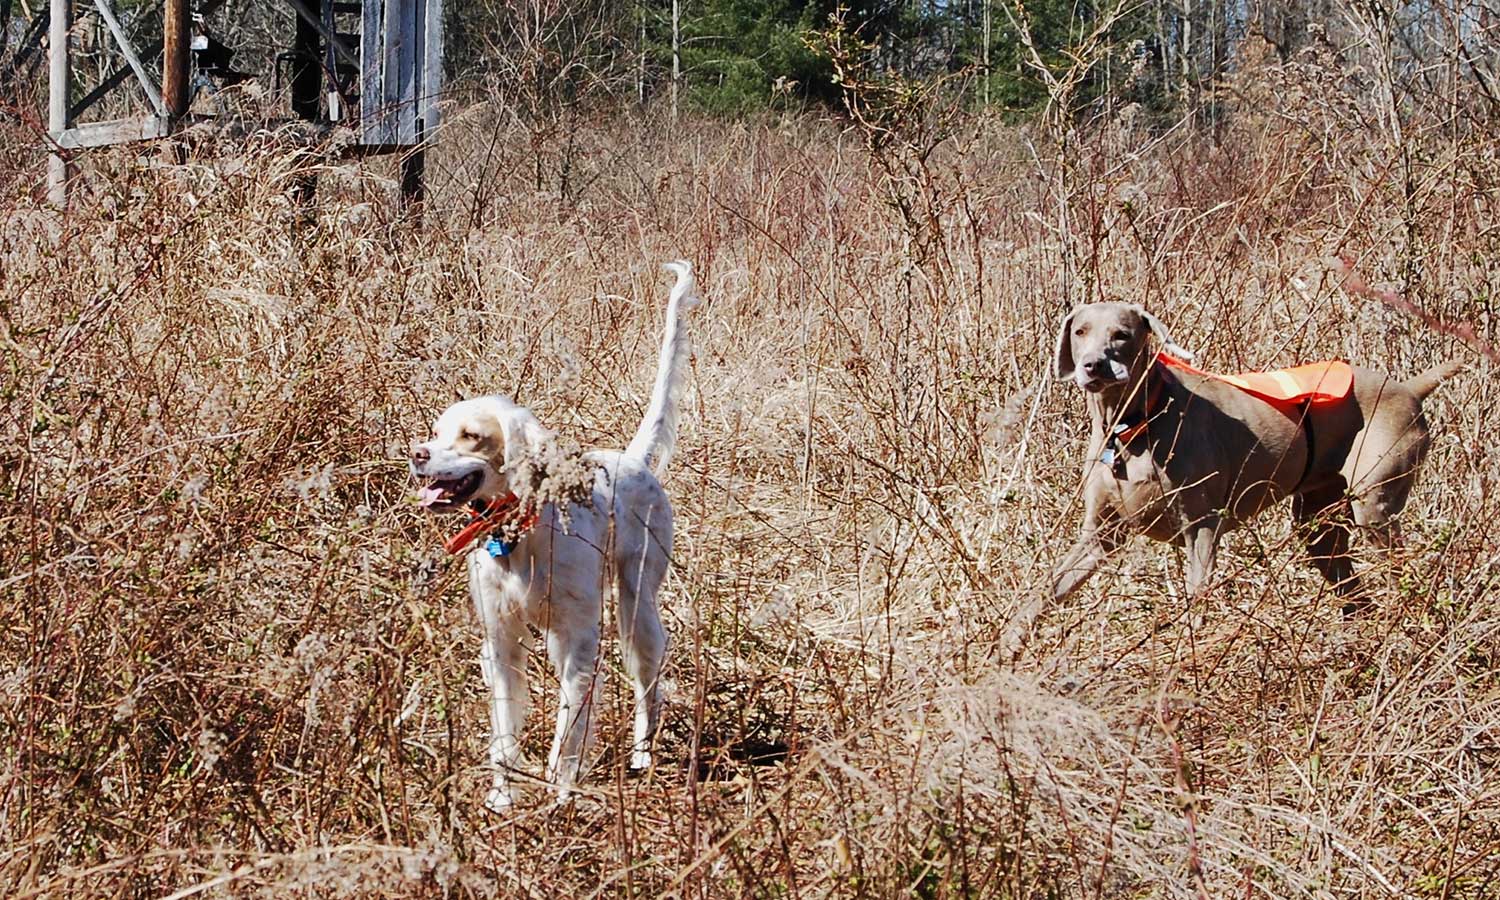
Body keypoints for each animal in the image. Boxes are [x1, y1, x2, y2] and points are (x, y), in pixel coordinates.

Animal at [405, 258, 696, 810]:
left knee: (650, 682)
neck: (520, 536)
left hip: (636, 604)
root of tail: (632, 458)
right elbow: (504, 735)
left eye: (471, 436)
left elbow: (570, 729)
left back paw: (642, 754)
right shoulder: (500, 640)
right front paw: (503, 796)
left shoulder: (577, 639)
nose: (417, 453)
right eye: (435, 432)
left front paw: (561, 794)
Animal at [1050, 303, 1458, 612]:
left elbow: (1196, 605)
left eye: (1122, 334)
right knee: (1353, 591)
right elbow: (1047, 591)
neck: (1130, 425)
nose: (1093, 365)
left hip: (1375, 512)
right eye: (1080, 332)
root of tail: (1408, 389)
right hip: (1317, 526)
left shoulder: (1201, 529)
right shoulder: (1099, 536)